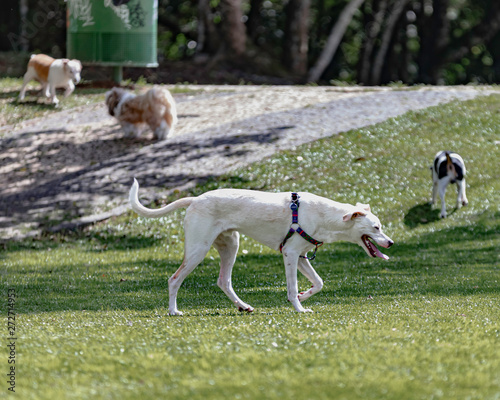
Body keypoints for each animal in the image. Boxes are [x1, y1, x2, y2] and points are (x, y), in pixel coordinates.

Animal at [127, 179, 392, 316]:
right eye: (376, 227)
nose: (390, 242)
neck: (325, 216)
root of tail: (196, 199)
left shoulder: (301, 256)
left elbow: (319, 283)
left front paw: (303, 296)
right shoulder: (290, 254)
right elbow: (292, 286)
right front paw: (298, 307)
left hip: (231, 246)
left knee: (223, 281)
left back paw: (242, 306)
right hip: (198, 250)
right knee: (174, 279)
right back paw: (173, 311)